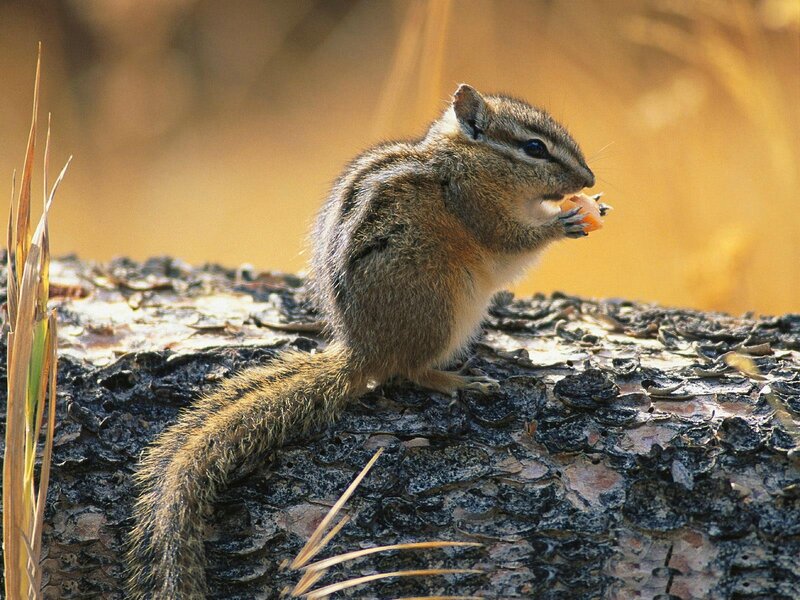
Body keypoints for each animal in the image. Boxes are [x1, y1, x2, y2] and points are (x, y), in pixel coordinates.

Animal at [127, 84, 596, 598]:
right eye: (534, 147)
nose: (590, 178)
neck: (465, 160)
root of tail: (361, 351)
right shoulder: (478, 207)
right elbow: (513, 240)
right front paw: (563, 222)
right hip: (441, 305)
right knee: (410, 370)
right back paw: (458, 382)